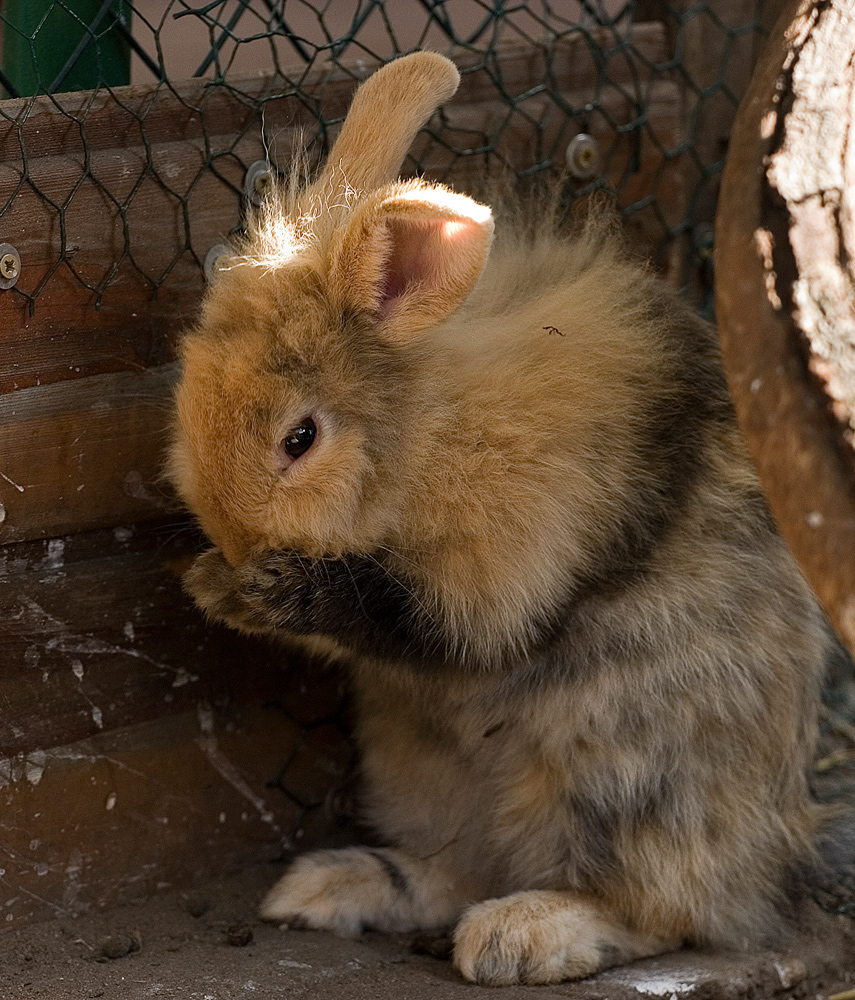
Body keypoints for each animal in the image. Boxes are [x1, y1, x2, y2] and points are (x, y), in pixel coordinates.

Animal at [169, 52, 836, 984]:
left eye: (300, 438)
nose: (232, 540)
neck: (417, 431)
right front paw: (211, 583)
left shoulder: (501, 568)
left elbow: (414, 620)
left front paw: (255, 588)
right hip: (420, 768)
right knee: (457, 869)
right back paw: (327, 889)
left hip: (630, 779)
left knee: (668, 912)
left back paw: (520, 936)